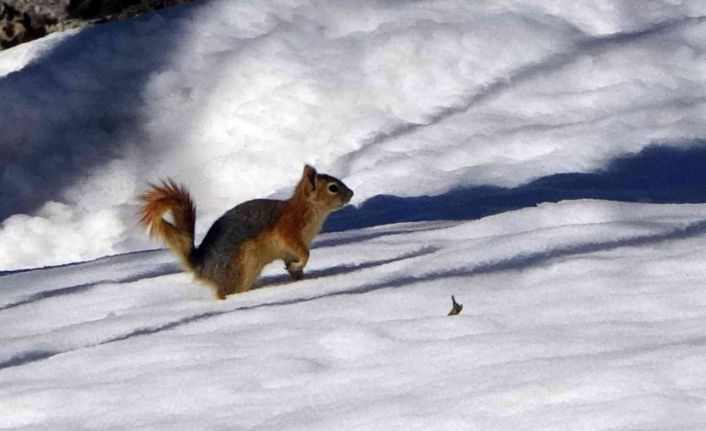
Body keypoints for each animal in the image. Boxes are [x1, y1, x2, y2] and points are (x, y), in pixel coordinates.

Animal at [139, 165, 352, 300]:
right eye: (333, 188)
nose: (352, 193)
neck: (306, 210)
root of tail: (202, 267)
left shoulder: (289, 250)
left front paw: (298, 277)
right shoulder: (288, 230)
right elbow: (305, 253)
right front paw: (300, 265)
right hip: (241, 269)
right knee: (225, 291)